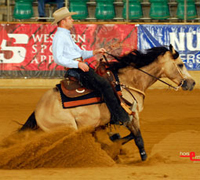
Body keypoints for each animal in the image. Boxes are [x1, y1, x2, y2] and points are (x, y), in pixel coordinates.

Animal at [20, 44, 195, 161]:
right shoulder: (131, 116)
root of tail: (38, 110)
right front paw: (145, 160)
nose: (192, 83)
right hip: (68, 128)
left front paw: (114, 140)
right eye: (180, 64)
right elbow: (138, 138)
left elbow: (128, 136)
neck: (127, 82)